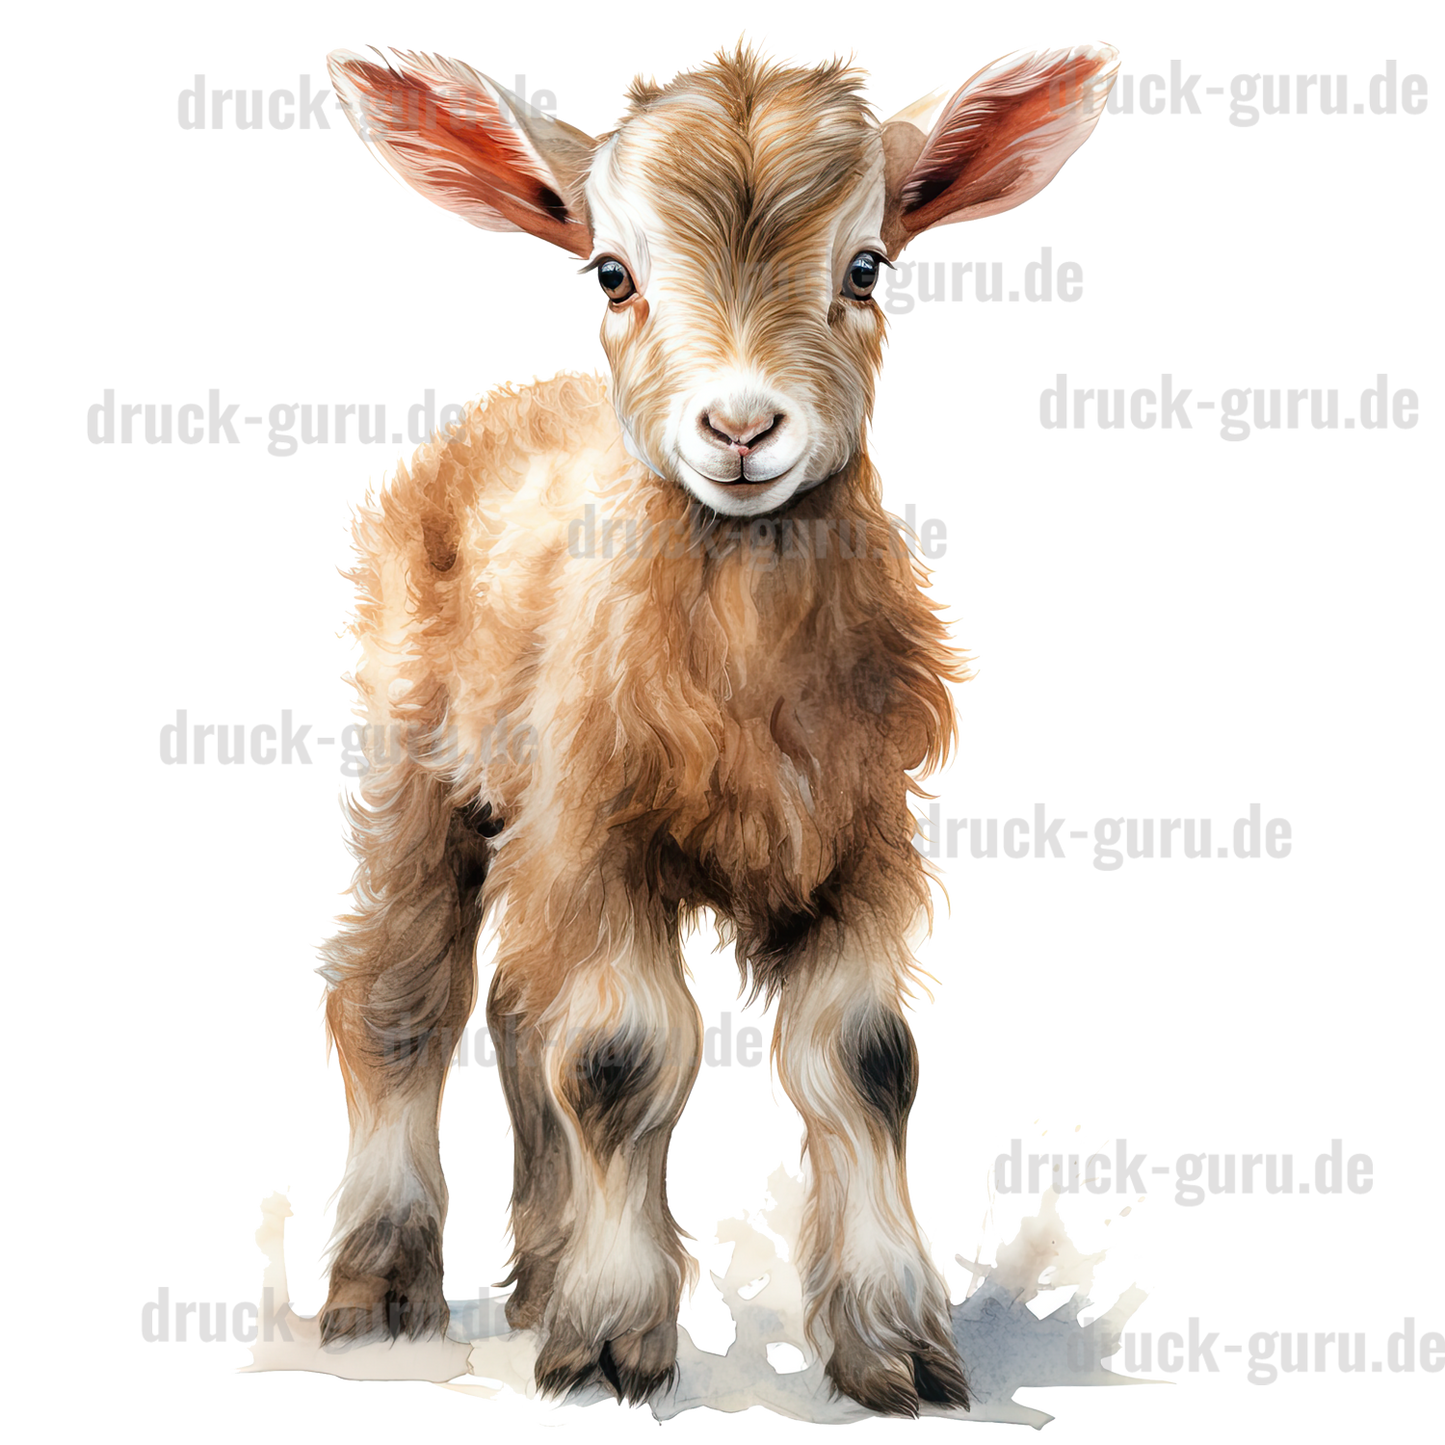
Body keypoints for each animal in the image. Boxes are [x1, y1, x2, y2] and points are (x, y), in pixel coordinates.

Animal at [313, 30, 1121, 1416]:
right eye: (611, 271)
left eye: (866, 266)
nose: (740, 428)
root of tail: (516, 398)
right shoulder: (598, 826)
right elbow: (620, 1055)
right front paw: (609, 1342)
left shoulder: (863, 839)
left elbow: (868, 1062)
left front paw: (897, 1347)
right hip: (415, 752)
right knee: (403, 995)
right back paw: (380, 1290)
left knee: (520, 1017)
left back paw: (536, 1274)